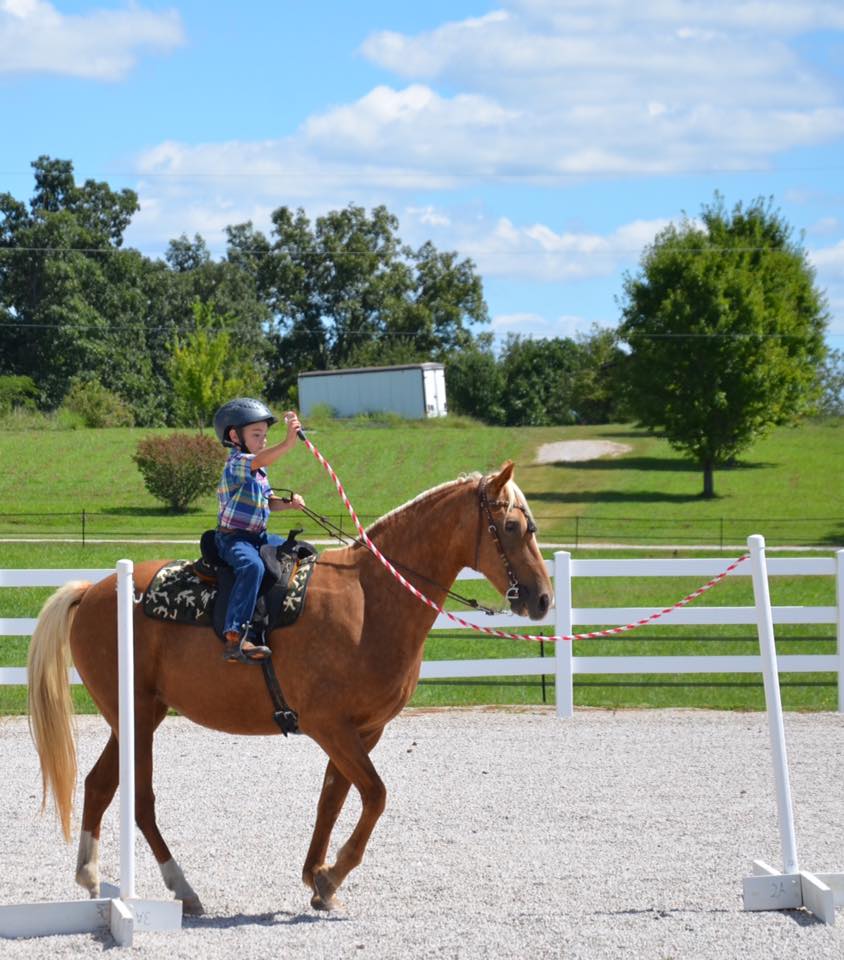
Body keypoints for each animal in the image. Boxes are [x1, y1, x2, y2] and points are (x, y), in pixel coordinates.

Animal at [27, 461, 553, 914]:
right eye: (511, 527)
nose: (543, 598)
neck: (370, 598)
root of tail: (91, 592)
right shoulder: (329, 726)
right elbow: (375, 794)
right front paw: (333, 875)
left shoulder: (364, 730)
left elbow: (333, 798)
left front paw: (318, 878)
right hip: (133, 715)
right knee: (140, 799)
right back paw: (183, 888)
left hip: (140, 715)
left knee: (100, 784)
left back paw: (92, 877)